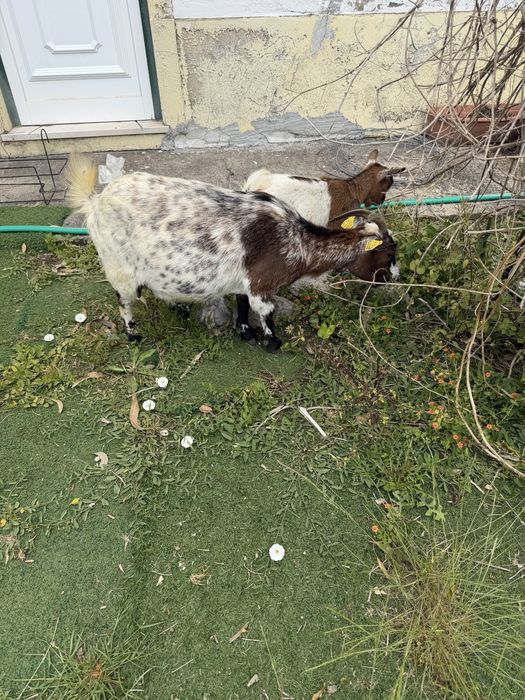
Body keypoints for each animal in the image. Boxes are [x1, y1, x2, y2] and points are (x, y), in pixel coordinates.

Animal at [65, 154, 398, 352]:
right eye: (389, 252)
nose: (394, 278)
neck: (297, 240)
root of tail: (95, 202)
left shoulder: (243, 280)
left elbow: (241, 303)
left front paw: (244, 330)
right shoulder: (261, 283)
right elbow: (266, 313)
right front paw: (272, 342)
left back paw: (179, 308)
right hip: (118, 266)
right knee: (124, 301)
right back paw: (133, 334)